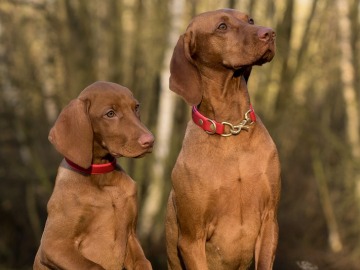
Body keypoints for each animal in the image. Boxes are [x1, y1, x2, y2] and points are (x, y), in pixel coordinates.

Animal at [32, 81, 153, 270]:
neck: (103, 180)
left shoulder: (131, 235)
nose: (150, 140)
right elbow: (95, 266)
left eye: (136, 107)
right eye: (110, 113)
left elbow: (143, 262)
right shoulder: (54, 245)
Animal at [166, 8, 282, 270]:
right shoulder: (192, 238)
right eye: (222, 27)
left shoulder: (269, 219)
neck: (232, 129)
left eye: (250, 20)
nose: (269, 33)